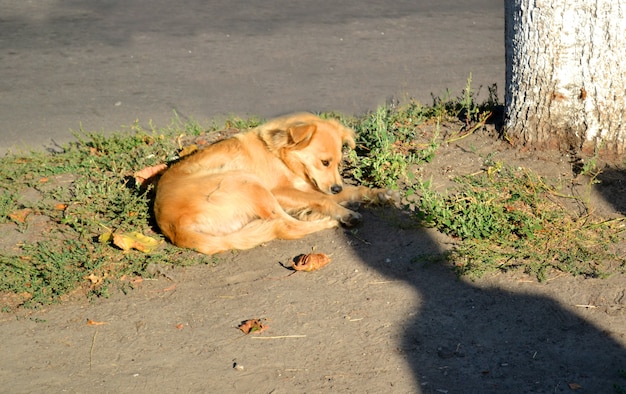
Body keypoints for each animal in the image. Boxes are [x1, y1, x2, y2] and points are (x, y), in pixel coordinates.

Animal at [153, 112, 392, 254]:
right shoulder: (279, 191)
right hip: (246, 181)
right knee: (289, 226)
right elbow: (322, 199)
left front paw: (379, 194)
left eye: (338, 163)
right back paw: (327, 221)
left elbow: (349, 191)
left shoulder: (310, 186)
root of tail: (173, 228)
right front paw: (344, 212)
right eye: (325, 162)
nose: (336, 188)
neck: (278, 154)